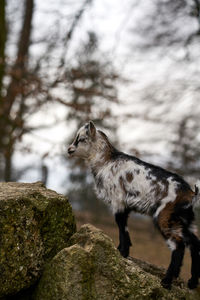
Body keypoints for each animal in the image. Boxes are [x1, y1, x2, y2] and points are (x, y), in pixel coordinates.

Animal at [68, 120, 200, 290]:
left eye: (82, 139)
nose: (69, 150)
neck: (106, 161)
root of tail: (190, 193)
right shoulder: (124, 205)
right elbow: (123, 227)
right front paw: (121, 251)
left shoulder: (118, 200)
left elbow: (121, 226)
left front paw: (122, 253)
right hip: (185, 220)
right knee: (194, 243)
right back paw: (191, 282)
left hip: (165, 217)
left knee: (178, 246)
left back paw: (166, 282)